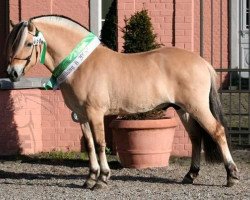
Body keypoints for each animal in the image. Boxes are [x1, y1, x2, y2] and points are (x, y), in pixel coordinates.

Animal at [4, 15, 238, 189]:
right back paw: (190, 175)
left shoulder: (95, 113)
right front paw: (90, 178)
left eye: (27, 43)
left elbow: (100, 144)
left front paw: (102, 179)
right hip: (184, 110)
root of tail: (202, 62)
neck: (81, 65)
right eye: (12, 43)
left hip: (197, 107)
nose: (12, 73)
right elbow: (89, 145)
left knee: (217, 131)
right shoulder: (81, 116)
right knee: (196, 137)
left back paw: (231, 176)